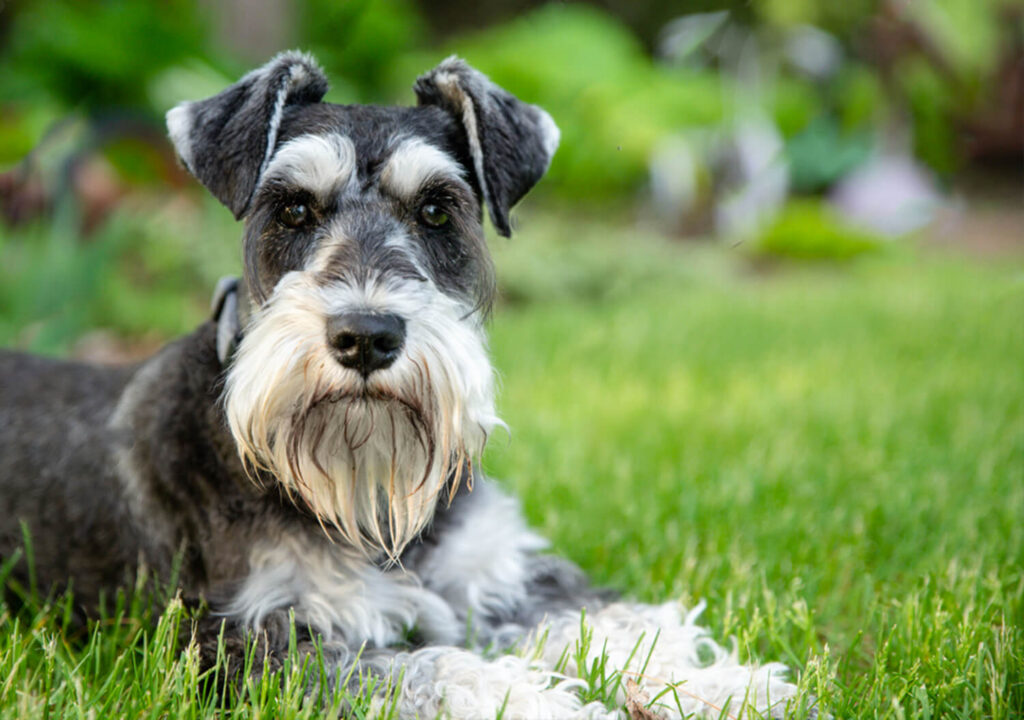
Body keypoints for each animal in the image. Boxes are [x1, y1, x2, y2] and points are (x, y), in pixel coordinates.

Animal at [0, 53, 811, 716]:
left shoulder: (508, 573)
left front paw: (723, 685)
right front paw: (547, 703)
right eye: (293, 207)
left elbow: (614, 622)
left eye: (436, 209)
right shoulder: (252, 644)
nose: (366, 335)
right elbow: (431, 670)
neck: (370, 497)